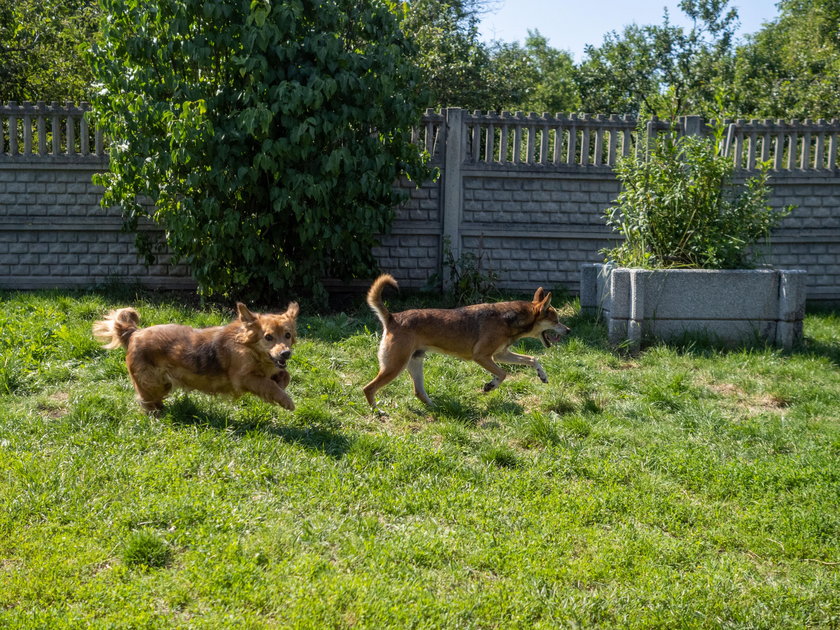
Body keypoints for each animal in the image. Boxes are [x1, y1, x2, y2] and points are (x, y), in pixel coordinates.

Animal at [93, 302, 298, 414]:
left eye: (287, 335)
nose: (285, 353)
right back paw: (156, 414)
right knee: (147, 400)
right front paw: (286, 400)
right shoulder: (243, 378)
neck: (248, 348)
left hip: (163, 384)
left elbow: (285, 376)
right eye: (268, 337)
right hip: (151, 382)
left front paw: (282, 384)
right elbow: (268, 384)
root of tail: (135, 333)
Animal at [362, 276, 572, 410]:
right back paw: (378, 412)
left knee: (418, 392)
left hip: (415, 362)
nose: (569, 330)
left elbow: (532, 358)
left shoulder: (500, 354)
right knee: (368, 388)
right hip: (395, 366)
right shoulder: (482, 357)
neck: (509, 319)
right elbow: (503, 374)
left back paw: (437, 407)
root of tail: (392, 318)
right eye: (556, 320)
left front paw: (542, 375)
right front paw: (490, 386)